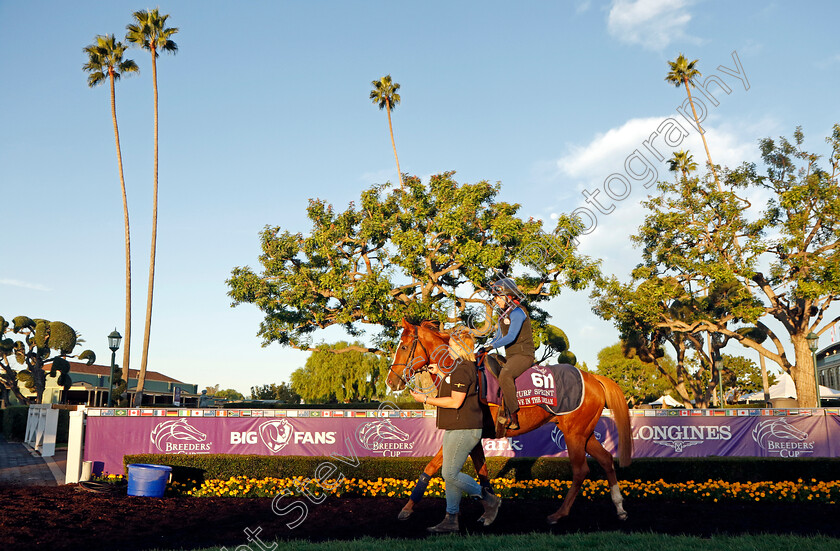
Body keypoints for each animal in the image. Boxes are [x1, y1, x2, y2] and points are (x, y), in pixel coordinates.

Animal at [388, 320, 632, 520]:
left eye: (403, 347)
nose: (391, 381)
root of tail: (594, 378)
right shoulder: (475, 439)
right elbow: (483, 475)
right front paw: (488, 509)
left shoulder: (467, 434)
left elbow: (432, 466)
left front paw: (407, 508)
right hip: (585, 433)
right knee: (606, 459)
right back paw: (619, 507)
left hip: (574, 434)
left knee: (581, 470)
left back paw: (560, 513)